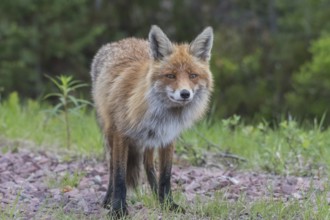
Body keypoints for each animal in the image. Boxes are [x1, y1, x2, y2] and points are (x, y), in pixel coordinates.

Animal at [90, 24, 214, 216]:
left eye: (193, 75)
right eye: (171, 76)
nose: (185, 94)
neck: (163, 116)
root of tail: (124, 40)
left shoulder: (168, 137)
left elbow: (165, 176)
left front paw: (168, 204)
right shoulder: (121, 134)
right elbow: (119, 176)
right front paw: (118, 209)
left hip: (149, 141)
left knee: (148, 165)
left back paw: (157, 196)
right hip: (110, 133)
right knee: (111, 168)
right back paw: (108, 200)